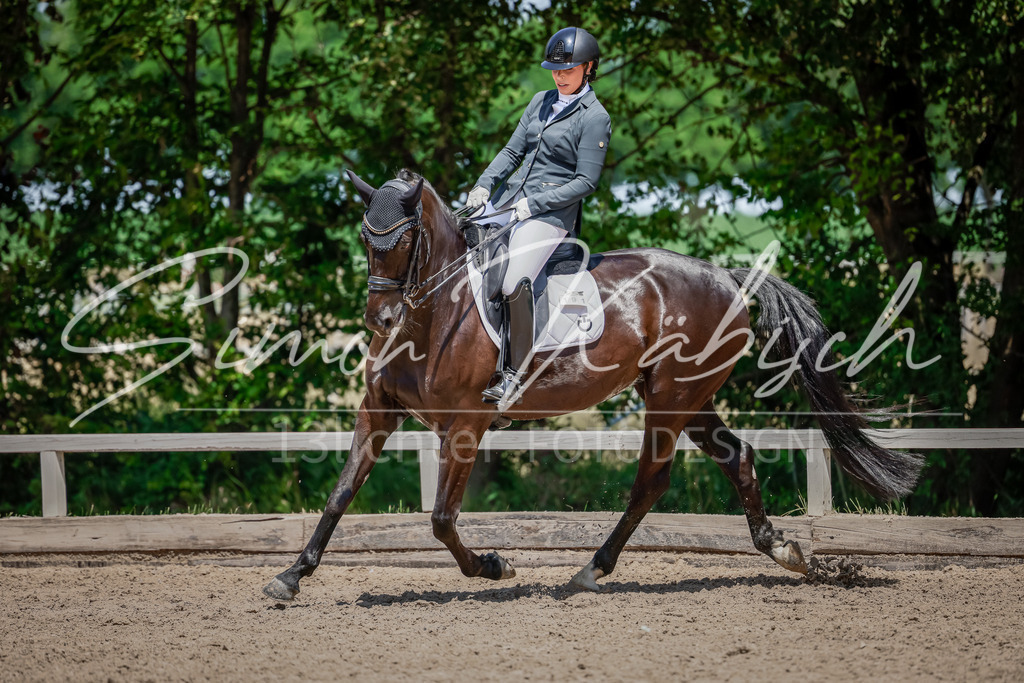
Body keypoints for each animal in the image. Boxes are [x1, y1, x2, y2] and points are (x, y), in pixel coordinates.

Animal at [262, 169, 923, 599]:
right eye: (364, 239)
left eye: (403, 241)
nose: (380, 321)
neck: (435, 311)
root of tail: (728, 278)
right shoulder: (378, 410)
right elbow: (340, 494)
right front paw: (291, 577)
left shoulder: (467, 425)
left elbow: (442, 520)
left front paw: (495, 567)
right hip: (689, 398)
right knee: (736, 457)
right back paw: (784, 552)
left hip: (671, 399)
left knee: (651, 481)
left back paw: (589, 572)